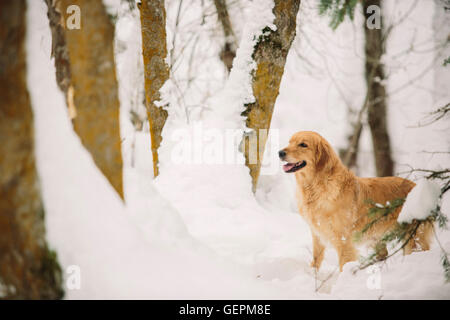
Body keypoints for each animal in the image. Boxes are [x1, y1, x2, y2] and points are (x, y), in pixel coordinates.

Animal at [280, 131, 430, 272]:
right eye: (290, 142)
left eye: (303, 144)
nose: (280, 152)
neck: (317, 186)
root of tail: (417, 186)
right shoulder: (317, 234)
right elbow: (316, 260)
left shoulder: (344, 240)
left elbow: (344, 264)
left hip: (413, 238)